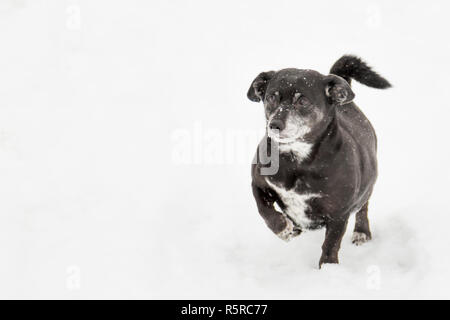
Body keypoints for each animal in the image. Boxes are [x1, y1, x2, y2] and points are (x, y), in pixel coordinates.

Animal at [246, 55, 390, 268]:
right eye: (272, 97)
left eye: (303, 100)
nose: (274, 125)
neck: (296, 161)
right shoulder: (258, 183)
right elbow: (264, 210)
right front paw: (284, 229)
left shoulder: (339, 214)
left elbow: (331, 245)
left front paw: (328, 269)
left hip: (367, 187)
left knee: (363, 207)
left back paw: (362, 231)